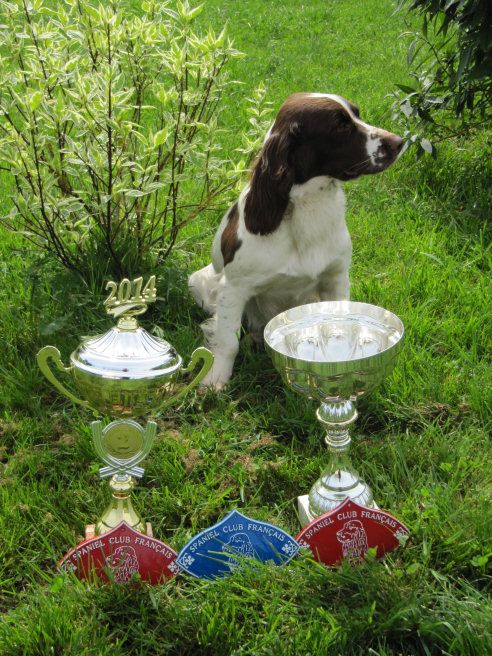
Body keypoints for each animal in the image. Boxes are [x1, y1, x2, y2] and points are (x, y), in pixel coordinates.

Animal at [189, 93, 404, 390]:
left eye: (357, 115)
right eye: (340, 126)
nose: (400, 141)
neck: (307, 207)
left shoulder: (336, 278)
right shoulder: (233, 288)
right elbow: (228, 340)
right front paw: (216, 378)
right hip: (199, 283)